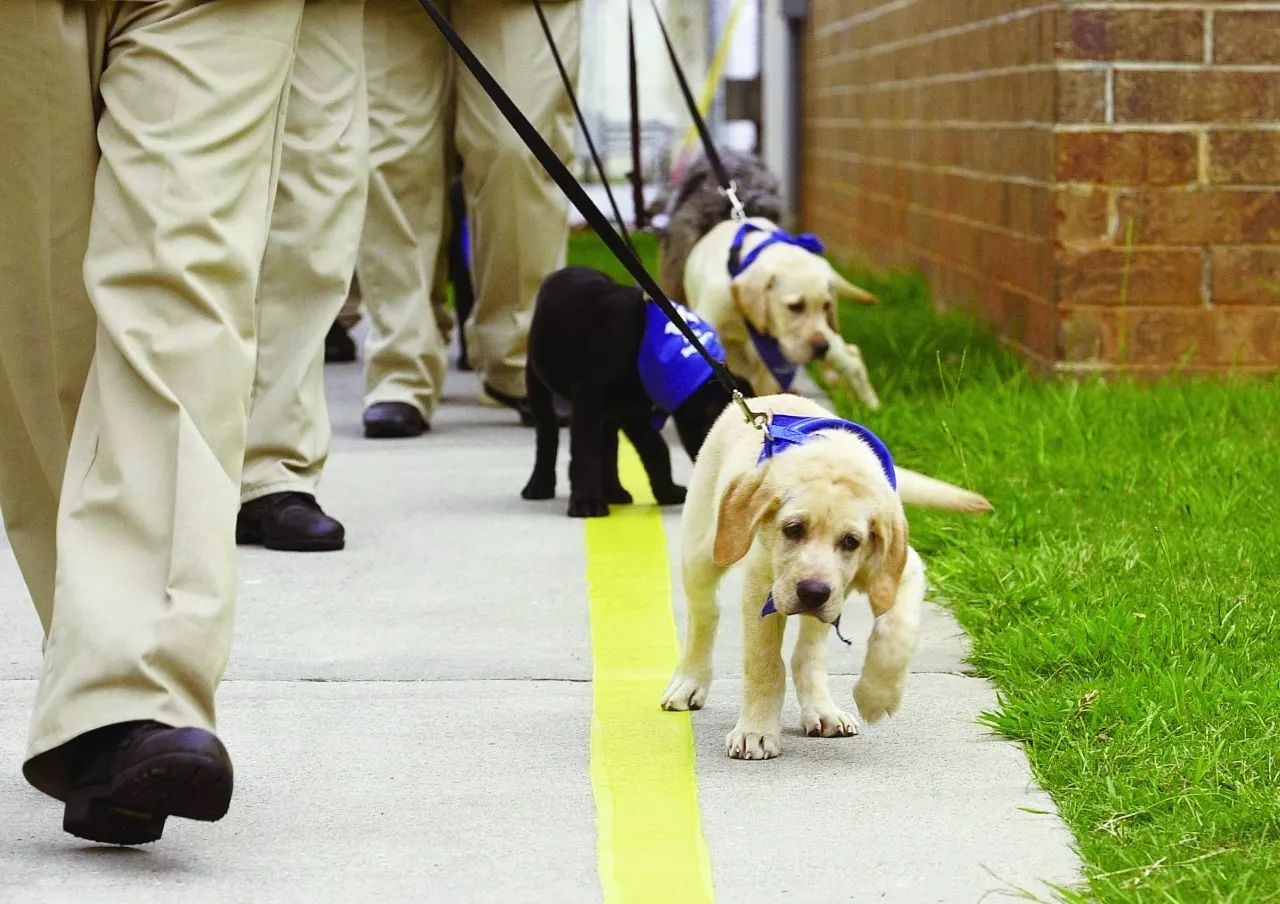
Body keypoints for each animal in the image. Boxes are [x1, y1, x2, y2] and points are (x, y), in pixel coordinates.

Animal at [524, 266, 747, 514]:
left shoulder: (634, 410)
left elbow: (656, 449)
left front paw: (667, 491)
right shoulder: (589, 402)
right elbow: (587, 451)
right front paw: (587, 502)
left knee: (609, 446)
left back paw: (614, 492)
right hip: (537, 381)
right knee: (547, 433)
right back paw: (539, 485)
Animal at [660, 391, 988, 752]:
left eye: (851, 541)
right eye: (793, 529)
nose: (812, 592)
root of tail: (761, 398)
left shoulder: (900, 569)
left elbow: (897, 631)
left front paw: (876, 696)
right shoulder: (761, 586)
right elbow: (764, 664)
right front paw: (755, 731)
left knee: (808, 653)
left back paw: (823, 710)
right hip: (704, 550)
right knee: (705, 613)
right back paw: (689, 680)